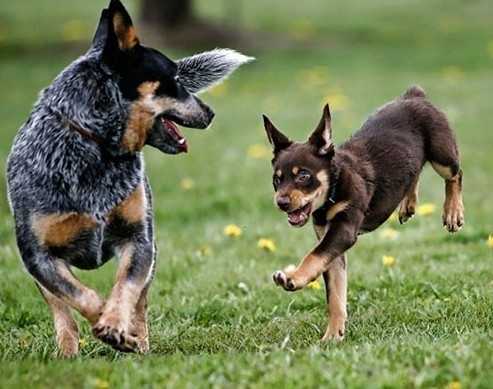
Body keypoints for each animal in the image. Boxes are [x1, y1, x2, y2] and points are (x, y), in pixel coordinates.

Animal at [7, 0, 252, 356]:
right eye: (173, 78)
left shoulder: (139, 239)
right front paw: (108, 326)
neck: (96, 149)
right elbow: (80, 296)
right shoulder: (38, 256)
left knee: (139, 302)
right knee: (62, 314)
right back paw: (69, 352)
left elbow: (126, 290)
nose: (210, 113)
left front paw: (120, 329)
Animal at [264, 86, 464, 342]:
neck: (334, 186)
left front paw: (293, 278)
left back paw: (453, 211)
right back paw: (408, 204)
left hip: (441, 154)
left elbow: (313, 257)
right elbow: (335, 296)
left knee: (455, 175)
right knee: (414, 172)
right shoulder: (333, 248)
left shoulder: (343, 230)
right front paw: (333, 336)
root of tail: (414, 95)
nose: (281, 203)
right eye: (276, 180)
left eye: (303, 176)